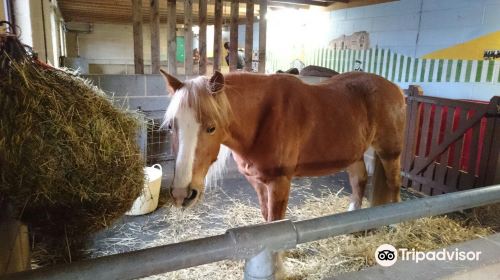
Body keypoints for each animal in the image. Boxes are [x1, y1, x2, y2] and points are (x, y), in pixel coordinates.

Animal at [161, 70, 406, 223]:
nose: (182, 194)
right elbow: (266, 216)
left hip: (390, 152)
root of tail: (395, 88)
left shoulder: (280, 182)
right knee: (359, 180)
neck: (262, 118)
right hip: (354, 153)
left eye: (211, 128)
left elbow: (276, 222)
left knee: (394, 184)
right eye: (172, 126)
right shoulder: (258, 181)